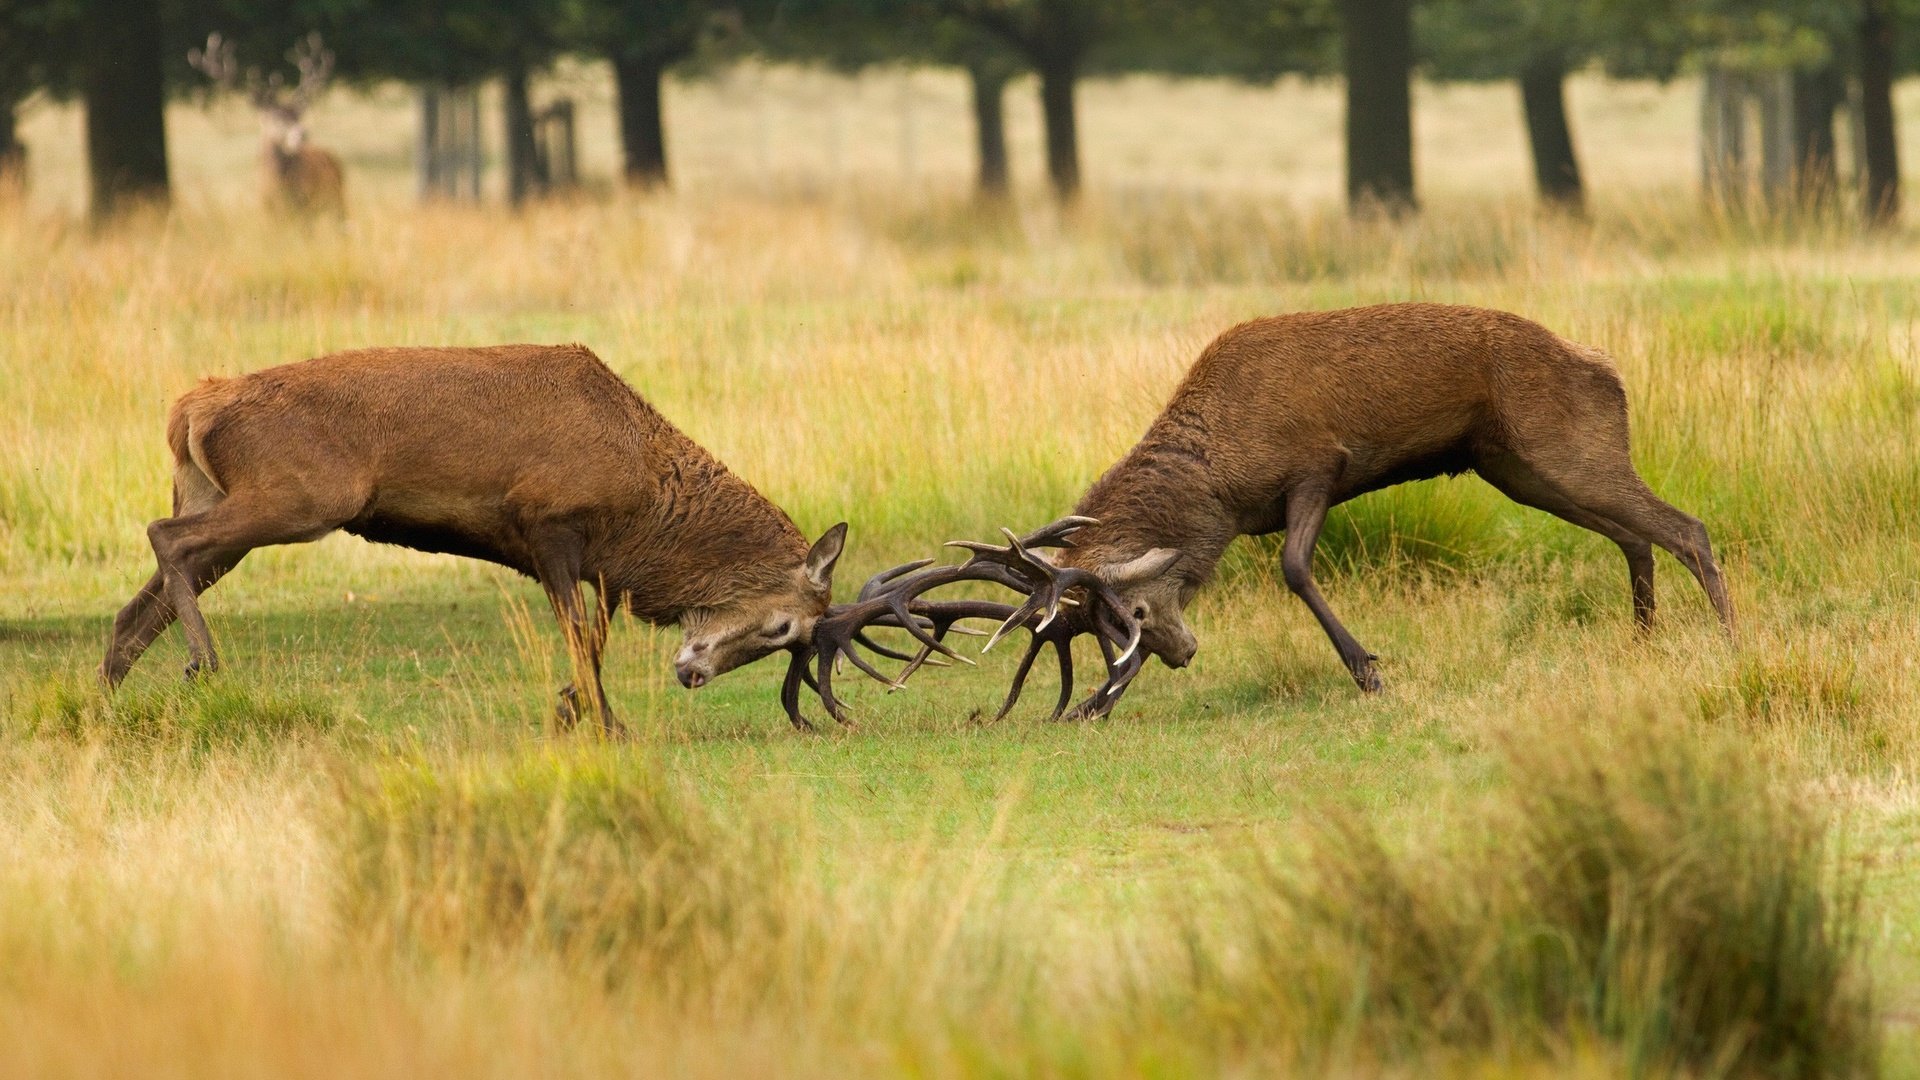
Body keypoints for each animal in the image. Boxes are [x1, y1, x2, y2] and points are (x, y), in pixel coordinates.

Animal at [99, 343, 1006, 730]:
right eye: (785, 627)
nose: (691, 674)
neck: (642, 508)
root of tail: (188, 407)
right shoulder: (550, 521)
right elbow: (581, 631)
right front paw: (602, 719)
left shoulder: (568, 555)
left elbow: (589, 633)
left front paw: (574, 705)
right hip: (302, 494)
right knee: (163, 535)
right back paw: (202, 664)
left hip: (223, 493)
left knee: (142, 594)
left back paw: (107, 693)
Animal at [192, 33, 351, 216]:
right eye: (276, 118)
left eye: (298, 116)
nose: (302, 133)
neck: (278, 192)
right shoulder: (266, 211)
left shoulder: (303, 207)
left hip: (337, 201)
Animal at [906, 299, 1735, 714]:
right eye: (1086, 628)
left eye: (1132, 616)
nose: (1180, 655)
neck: (1224, 482)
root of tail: (1610, 371)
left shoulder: (1316, 466)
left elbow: (1296, 567)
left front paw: (1368, 671)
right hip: (1517, 468)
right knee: (1636, 538)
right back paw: (1642, 640)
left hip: (1561, 447)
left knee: (1686, 528)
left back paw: (1730, 643)